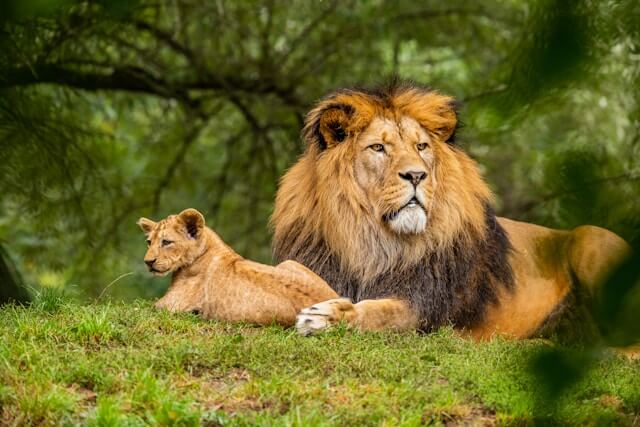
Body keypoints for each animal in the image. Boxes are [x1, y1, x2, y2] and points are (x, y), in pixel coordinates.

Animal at [137, 208, 338, 325]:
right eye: (148, 242)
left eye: (166, 242)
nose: (148, 262)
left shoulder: (170, 305)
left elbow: (142, 308)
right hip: (288, 262)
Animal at [270, 80, 632, 341]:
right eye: (378, 148)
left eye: (421, 146)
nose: (416, 175)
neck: (372, 240)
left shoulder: (423, 307)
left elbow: (377, 312)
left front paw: (325, 317)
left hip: (591, 239)